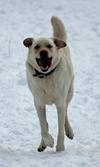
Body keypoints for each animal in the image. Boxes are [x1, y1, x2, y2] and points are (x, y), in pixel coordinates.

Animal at [23, 16, 74, 152]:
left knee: (66, 114)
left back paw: (69, 131)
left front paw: (60, 148)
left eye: (49, 46)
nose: (43, 52)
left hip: (69, 93)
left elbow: (60, 128)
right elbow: (43, 127)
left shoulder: (60, 103)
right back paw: (42, 144)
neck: (46, 76)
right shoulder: (38, 103)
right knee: (45, 124)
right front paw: (49, 141)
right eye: (36, 47)